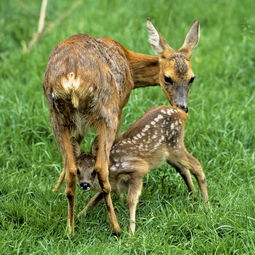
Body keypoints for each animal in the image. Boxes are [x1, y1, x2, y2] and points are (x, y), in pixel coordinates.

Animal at [43, 19, 199, 235]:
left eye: (192, 78)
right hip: (107, 111)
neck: (128, 62)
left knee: (72, 168)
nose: (182, 107)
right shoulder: (119, 108)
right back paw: (116, 227)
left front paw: (54, 189)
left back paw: (70, 229)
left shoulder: (76, 124)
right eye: (167, 78)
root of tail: (72, 77)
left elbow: (75, 153)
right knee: (101, 167)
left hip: (56, 116)